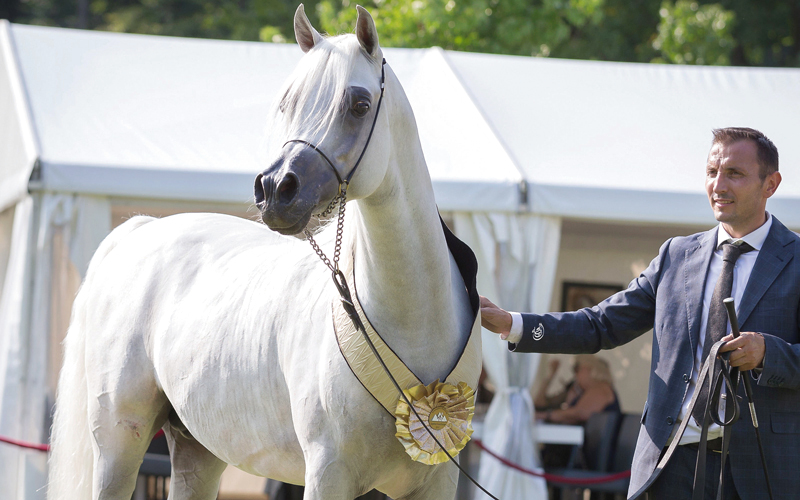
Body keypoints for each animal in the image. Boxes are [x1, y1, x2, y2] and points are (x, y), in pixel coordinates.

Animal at [47, 4, 482, 500]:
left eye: (359, 104)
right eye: (287, 102)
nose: (276, 189)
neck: (412, 323)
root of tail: (141, 230)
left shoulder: (436, 480)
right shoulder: (328, 473)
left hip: (198, 449)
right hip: (119, 442)